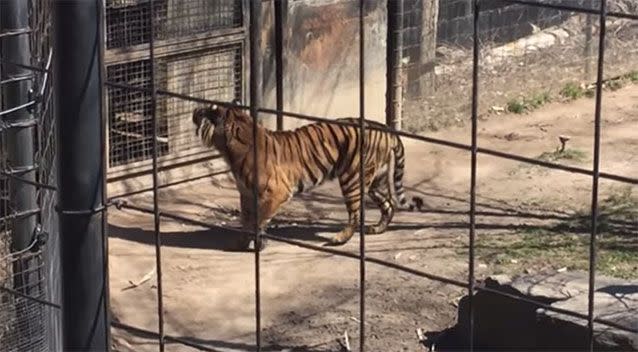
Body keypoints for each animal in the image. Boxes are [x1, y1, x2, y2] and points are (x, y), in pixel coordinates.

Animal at [192, 102, 422, 250]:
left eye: (207, 110)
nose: (194, 111)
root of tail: (386, 128)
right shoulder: (247, 194)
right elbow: (247, 220)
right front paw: (242, 243)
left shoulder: (276, 192)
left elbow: (259, 219)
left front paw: (258, 244)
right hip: (376, 180)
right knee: (389, 205)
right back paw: (377, 229)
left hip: (353, 178)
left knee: (356, 214)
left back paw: (339, 239)